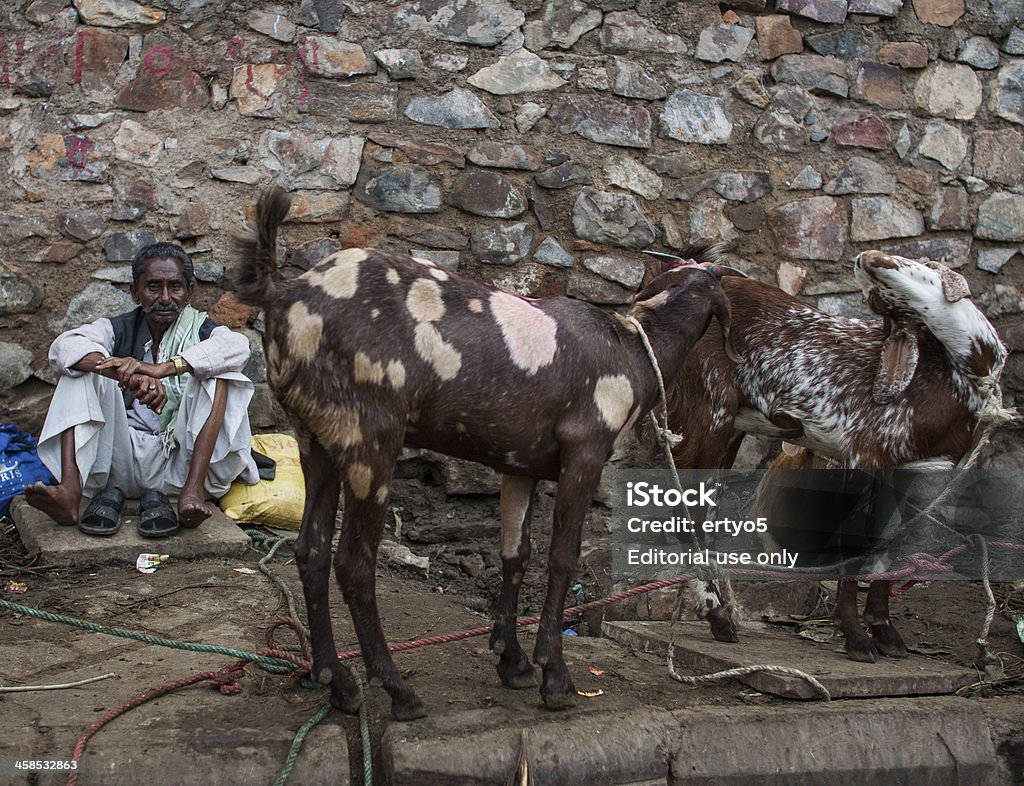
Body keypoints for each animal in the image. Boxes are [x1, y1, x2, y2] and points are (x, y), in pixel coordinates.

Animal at [234, 188, 737, 720]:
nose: (729, 624)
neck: (635, 349)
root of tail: (285, 294)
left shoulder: (520, 465)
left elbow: (516, 554)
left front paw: (512, 660)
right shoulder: (586, 451)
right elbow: (562, 557)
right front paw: (554, 675)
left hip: (316, 437)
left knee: (310, 552)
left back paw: (339, 682)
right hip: (369, 437)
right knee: (353, 563)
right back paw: (397, 690)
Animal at [655, 247, 1007, 663]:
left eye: (916, 272)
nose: (867, 257)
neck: (948, 379)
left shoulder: (912, 471)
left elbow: (887, 545)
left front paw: (886, 631)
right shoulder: (863, 456)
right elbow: (853, 543)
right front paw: (857, 638)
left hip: (728, 428)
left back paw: (718, 614)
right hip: (708, 415)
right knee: (688, 512)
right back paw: (716, 614)